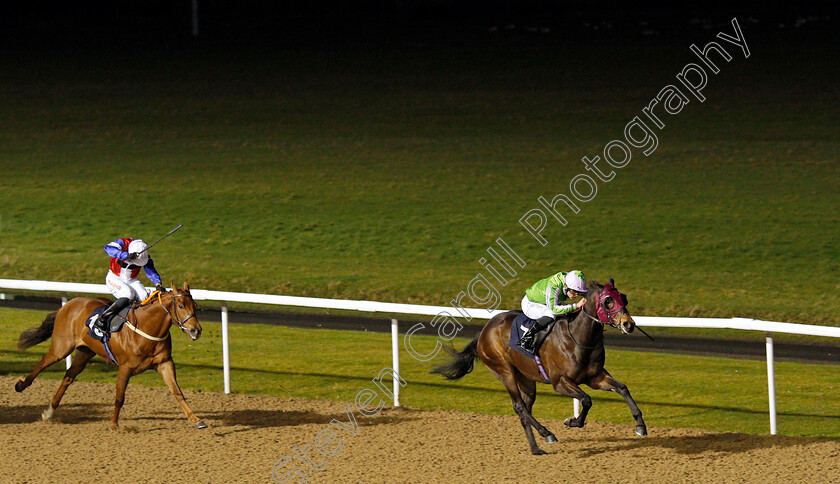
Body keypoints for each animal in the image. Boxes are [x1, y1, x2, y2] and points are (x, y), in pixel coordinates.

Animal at [14, 282, 207, 430]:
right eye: (181, 305)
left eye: (195, 306)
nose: (196, 330)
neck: (148, 327)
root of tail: (70, 304)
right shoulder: (125, 368)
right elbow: (119, 397)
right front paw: (114, 424)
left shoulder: (165, 363)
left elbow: (177, 392)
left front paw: (195, 419)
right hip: (62, 347)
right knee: (43, 362)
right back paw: (21, 385)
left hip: (85, 352)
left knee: (68, 376)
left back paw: (49, 412)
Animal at [436, 278, 648, 456]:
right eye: (608, 301)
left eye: (623, 297)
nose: (629, 324)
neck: (579, 336)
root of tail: (484, 331)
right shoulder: (560, 382)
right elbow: (586, 400)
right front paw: (572, 421)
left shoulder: (595, 377)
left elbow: (622, 388)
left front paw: (640, 425)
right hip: (504, 371)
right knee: (519, 407)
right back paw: (547, 433)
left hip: (526, 378)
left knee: (524, 409)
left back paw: (535, 448)